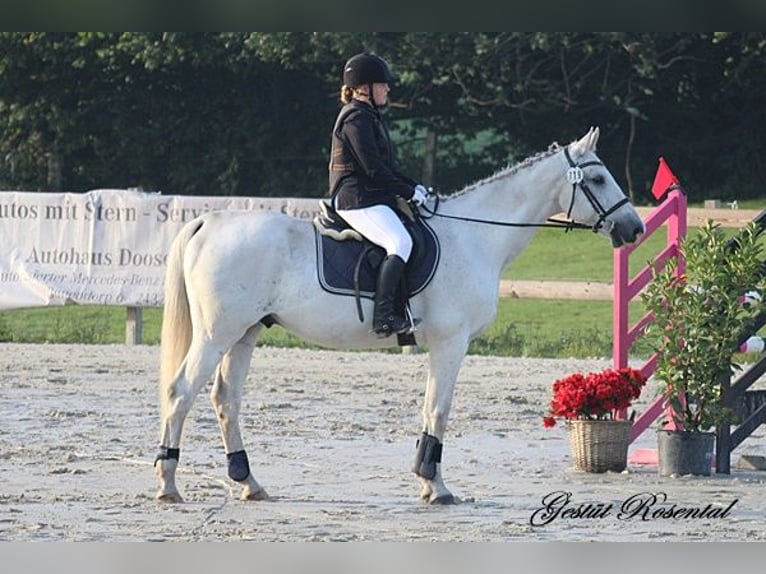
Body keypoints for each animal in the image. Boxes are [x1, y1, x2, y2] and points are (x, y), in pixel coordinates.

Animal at [153, 126, 644, 504]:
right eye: (597, 177)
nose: (635, 228)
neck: (475, 237)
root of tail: (208, 221)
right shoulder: (451, 343)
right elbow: (439, 410)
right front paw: (437, 487)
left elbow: (428, 410)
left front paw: (427, 483)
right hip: (217, 333)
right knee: (180, 392)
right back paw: (168, 484)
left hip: (245, 333)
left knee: (225, 400)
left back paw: (249, 483)